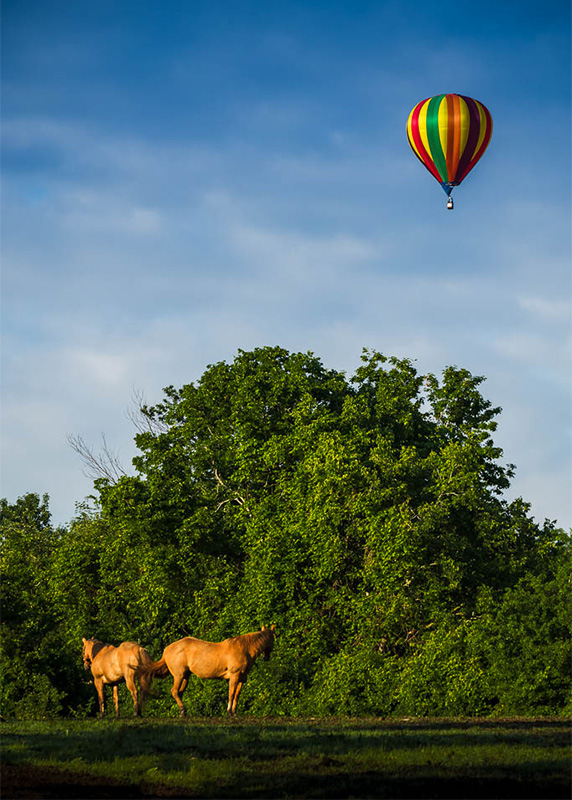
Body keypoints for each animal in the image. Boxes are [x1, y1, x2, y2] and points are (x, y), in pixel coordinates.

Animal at [136, 620, 274, 716]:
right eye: (273, 638)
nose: (266, 657)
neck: (243, 648)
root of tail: (167, 650)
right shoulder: (234, 676)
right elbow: (231, 694)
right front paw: (229, 712)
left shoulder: (242, 679)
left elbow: (236, 695)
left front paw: (234, 713)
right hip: (179, 675)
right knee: (174, 691)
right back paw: (183, 710)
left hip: (186, 676)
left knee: (179, 692)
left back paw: (183, 712)